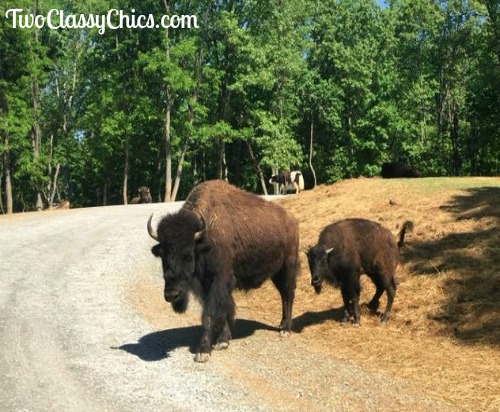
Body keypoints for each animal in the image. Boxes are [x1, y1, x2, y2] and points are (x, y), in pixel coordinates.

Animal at [146, 179, 298, 360]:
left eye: (188, 253)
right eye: (162, 254)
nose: (171, 294)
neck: (202, 240)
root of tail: (292, 220)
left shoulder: (218, 281)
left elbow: (210, 313)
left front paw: (203, 351)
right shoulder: (208, 285)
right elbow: (223, 310)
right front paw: (223, 341)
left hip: (287, 268)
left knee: (288, 295)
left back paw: (285, 329)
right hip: (276, 273)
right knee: (283, 295)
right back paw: (281, 325)